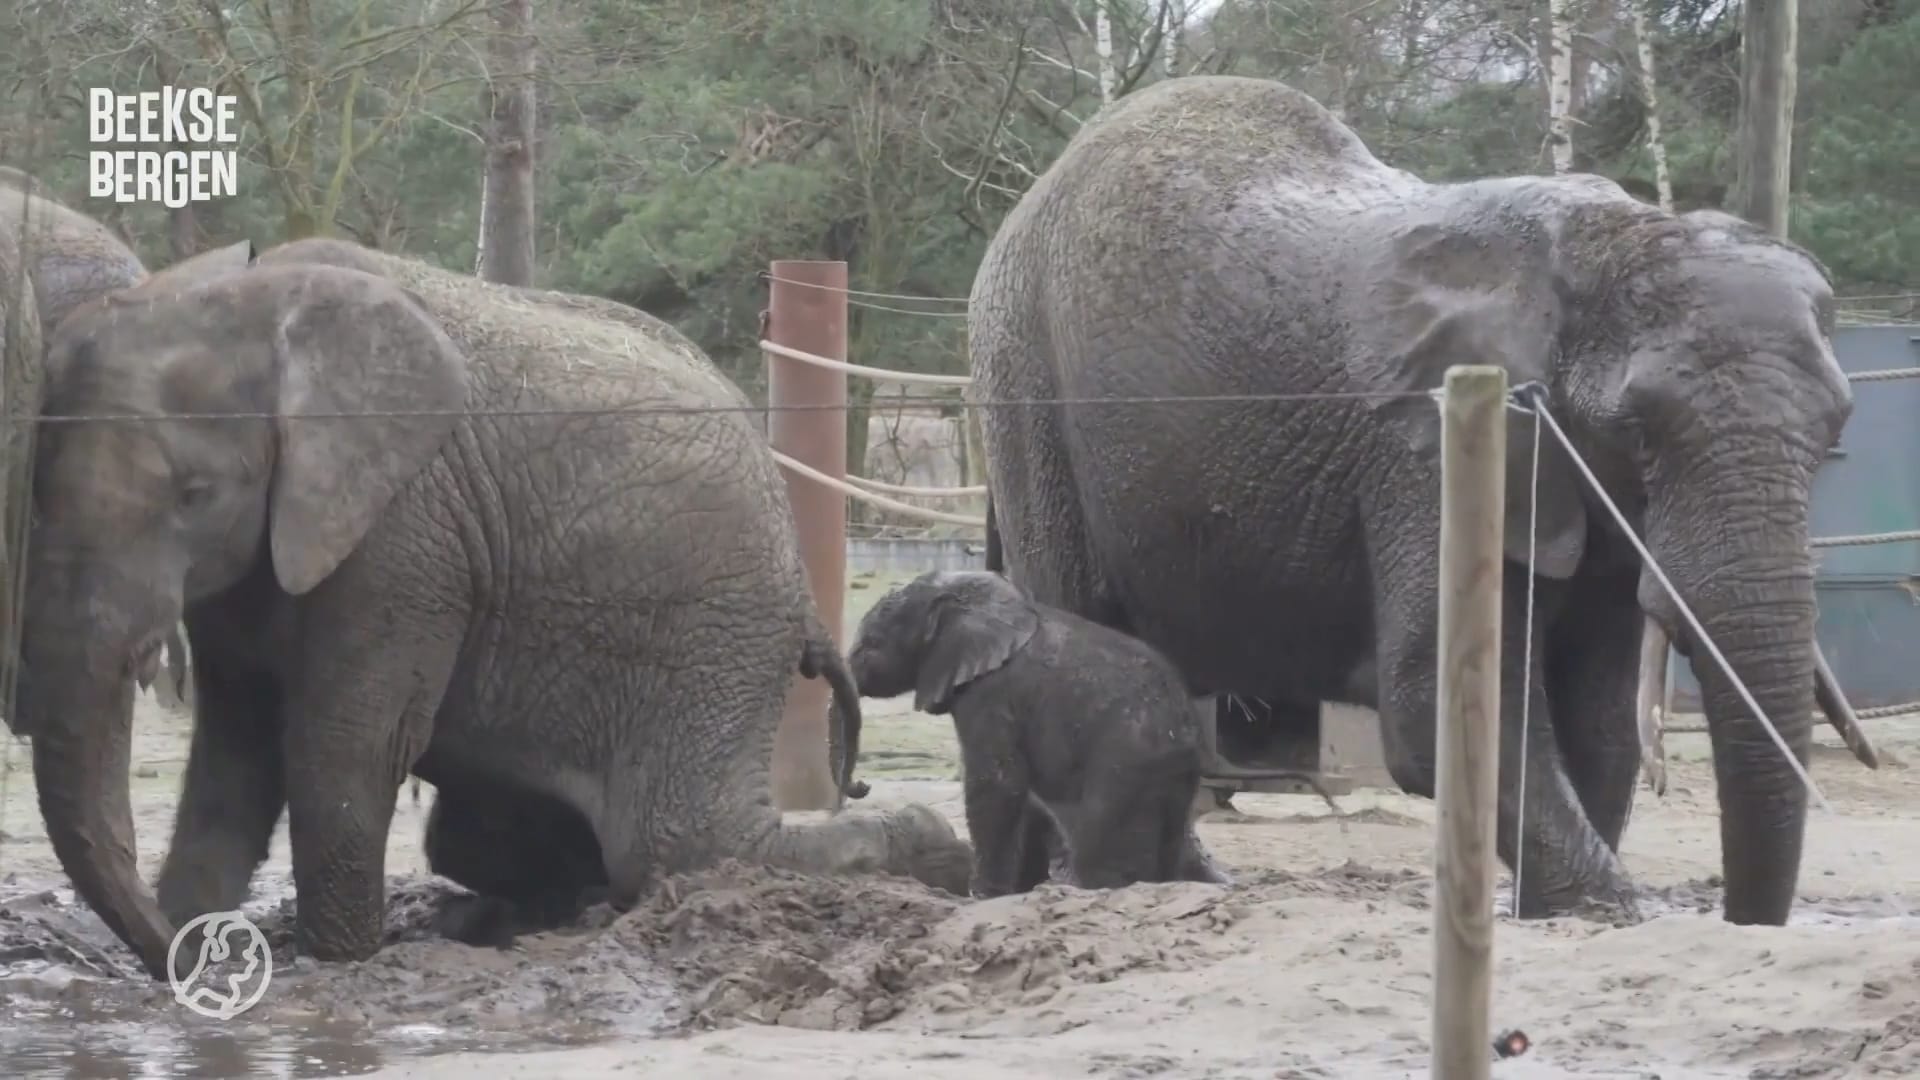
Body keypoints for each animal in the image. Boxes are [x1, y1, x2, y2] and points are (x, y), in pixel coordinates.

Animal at [16, 228, 975, 976]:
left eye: (193, 494)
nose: (168, 957)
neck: (255, 303)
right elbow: (234, 755)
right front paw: (196, 954)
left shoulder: (407, 535)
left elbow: (342, 747)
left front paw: (336, 965)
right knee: (478, 837)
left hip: (714, 626)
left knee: (679, 842)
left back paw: (941, 852)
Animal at [848, 564, 1221, 891]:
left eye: (872, 644)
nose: (862, 785)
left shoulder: (991, 692)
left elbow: (998, 781)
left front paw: (984, 894)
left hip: (1127, 763)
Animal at [975, 73, 1858, 926]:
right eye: (1639, 427)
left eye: (1838, 427)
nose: (1742, 921)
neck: (1601, 239)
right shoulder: (1429, 449)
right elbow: (1444, 699)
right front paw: (1614, 909)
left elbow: (1601, 716)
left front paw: (1547, 912)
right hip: (1026, 394)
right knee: (1089, 632)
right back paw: (1110, 885)